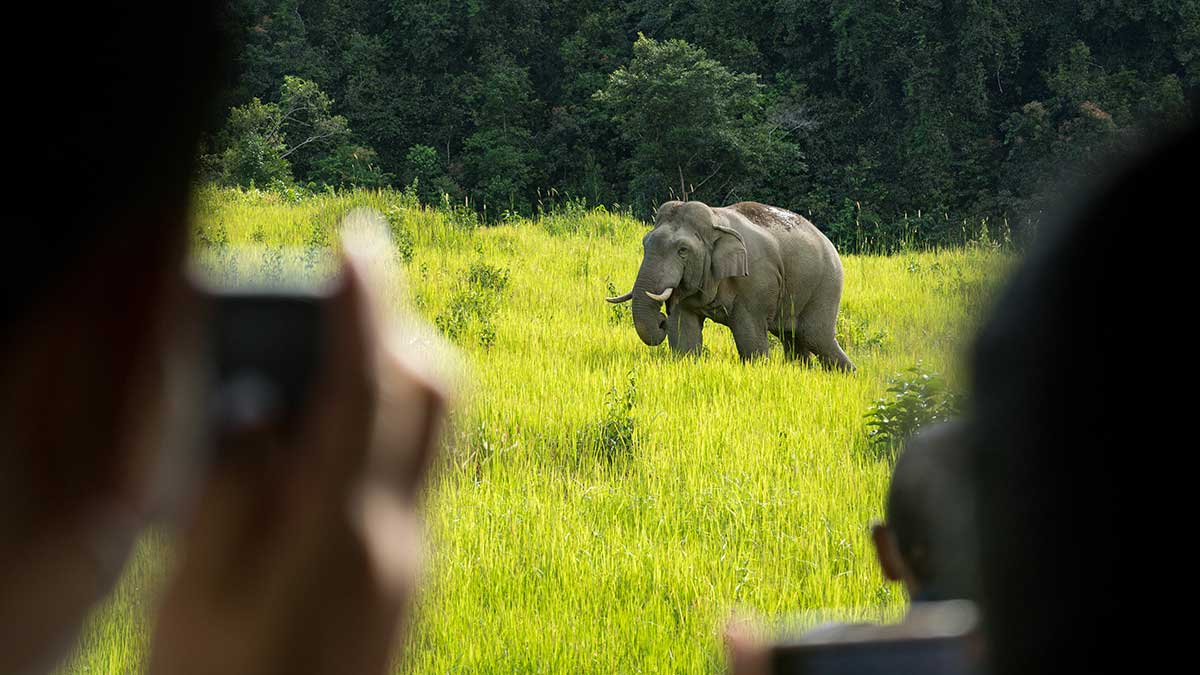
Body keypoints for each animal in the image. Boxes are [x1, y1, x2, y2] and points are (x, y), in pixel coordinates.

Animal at [609, 199, 854, 367]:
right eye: (645, 243)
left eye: (683, 251)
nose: (661, 320)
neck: (715, 219)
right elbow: (684, 332)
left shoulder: (755, 283)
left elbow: (750, 338)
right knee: (794, 340)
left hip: (826, 287)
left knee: (816, 337)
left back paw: (850, 374)